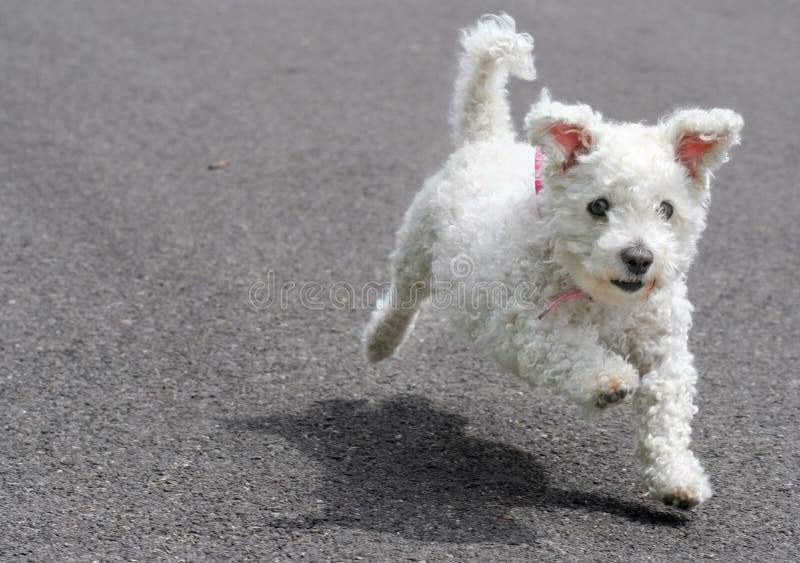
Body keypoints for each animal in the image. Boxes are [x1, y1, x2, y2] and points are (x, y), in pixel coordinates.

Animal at [362, 14, 744, 512]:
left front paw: (677, 478)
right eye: (599, 206)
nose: (639, 257)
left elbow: (667, 407)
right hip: (416, 247)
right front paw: (607, 380)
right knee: (402, 298)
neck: (603, 300)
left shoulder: (663, 346)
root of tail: (486, 141)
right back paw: (380, 342)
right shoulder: (524, 328)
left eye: (666, 209)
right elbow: (570, 351)